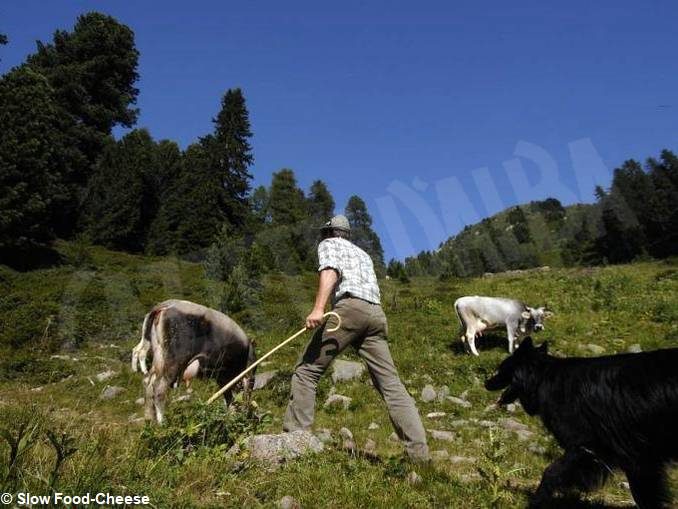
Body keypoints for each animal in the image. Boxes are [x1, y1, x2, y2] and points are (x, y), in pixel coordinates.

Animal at [486, 336, 678, 506]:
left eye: (500, 368)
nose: (486, 383)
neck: (544, 379)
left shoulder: (587, 447)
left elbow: (551, 473)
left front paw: (536, 501)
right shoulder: (634, 456)